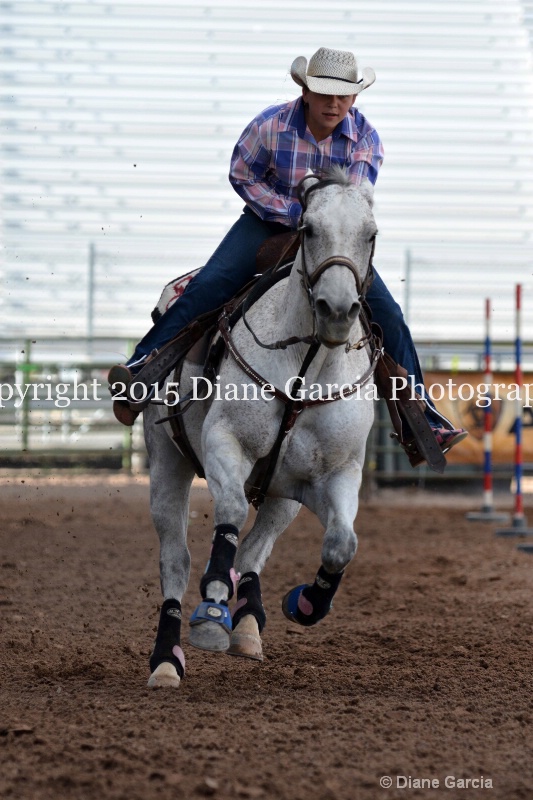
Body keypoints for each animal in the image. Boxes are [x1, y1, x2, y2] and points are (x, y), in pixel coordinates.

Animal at [141, 167, 378, 688]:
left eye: (371, 234)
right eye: (308, 229)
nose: (337, 310)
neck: (306, 367)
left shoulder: (332, 475)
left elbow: (342, 544)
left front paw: (306, 603)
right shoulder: (224, 444)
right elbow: (228, 512)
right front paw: (212, 613)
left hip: (280, 495)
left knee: (253, 552)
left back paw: (248, 626)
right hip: (166, 461)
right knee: (176, 562)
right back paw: (167, 661)